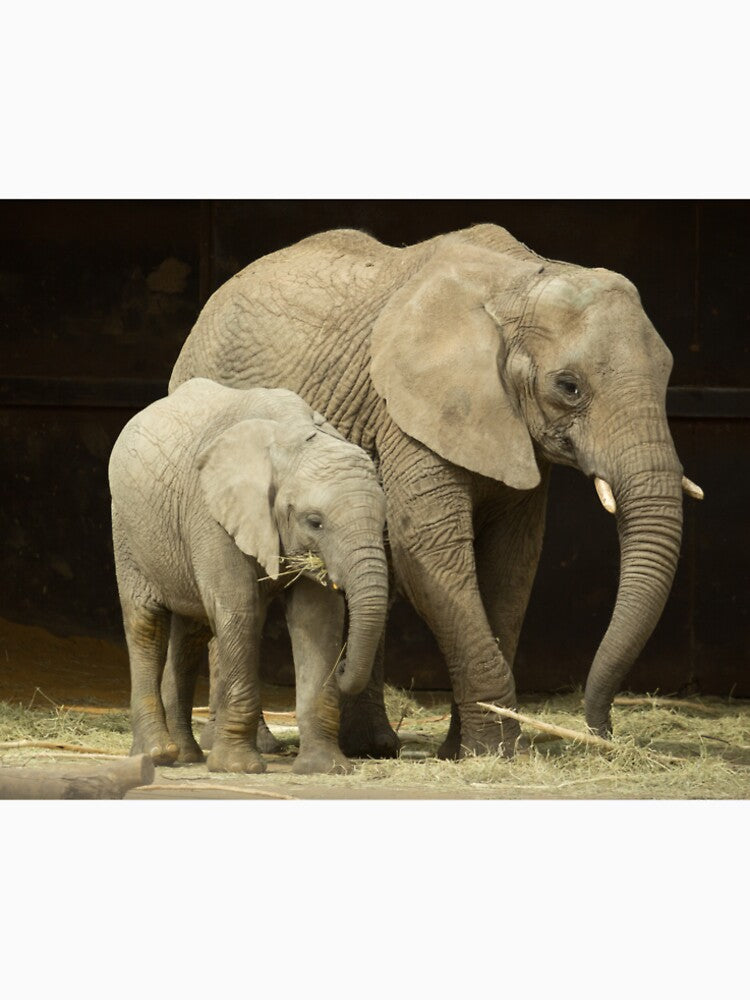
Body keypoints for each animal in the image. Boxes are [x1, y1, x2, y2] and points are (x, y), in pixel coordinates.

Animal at [108, 377, 388, 774]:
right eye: (314, 522)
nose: (345, 665)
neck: (290, 436)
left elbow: (318, 619)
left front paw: (325, 768)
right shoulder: (211, 514)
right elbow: (237, 609)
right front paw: (238, 767)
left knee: (192, 632)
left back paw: (187, 756)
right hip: (128, 527)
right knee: (147, 623)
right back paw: (158, 754)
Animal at [169, 223, 703, 757]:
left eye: (667, 377)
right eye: (568, 387)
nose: (601, 732)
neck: (520, 282)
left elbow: (511, 563)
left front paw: (464, 750)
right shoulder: (408, 415)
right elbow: (427, 551)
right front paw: (494, 750)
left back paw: (372, 745)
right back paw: (257, 744)